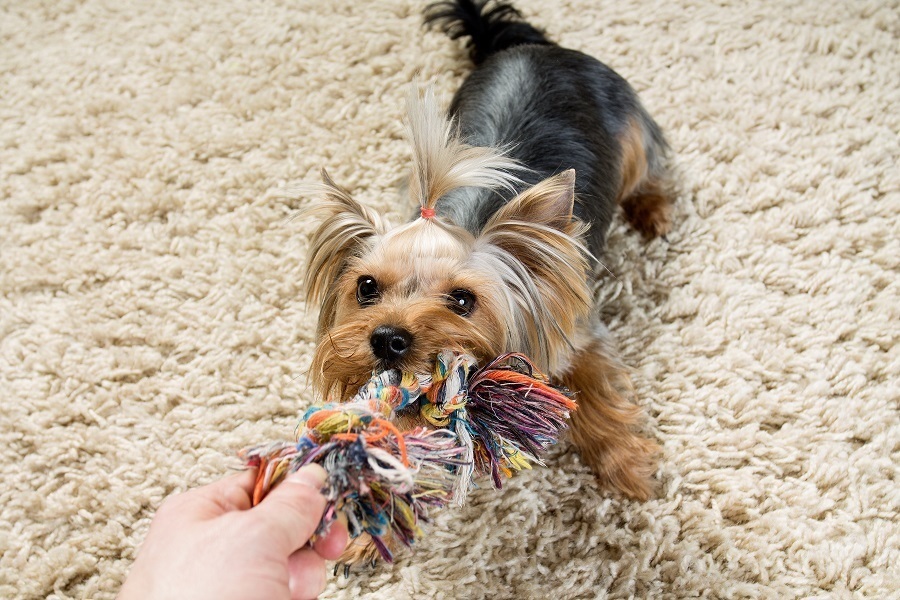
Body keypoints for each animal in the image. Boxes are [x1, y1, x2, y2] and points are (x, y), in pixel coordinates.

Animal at [304, 0, 676, 564]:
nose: (387, 339)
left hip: (632, 131)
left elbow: (597, 395)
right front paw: (372, 520)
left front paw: (628, 469)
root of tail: (525, 47)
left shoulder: (577, 334)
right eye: (366, 288)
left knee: (650, 169)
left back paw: (653, 210)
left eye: (463, 300)